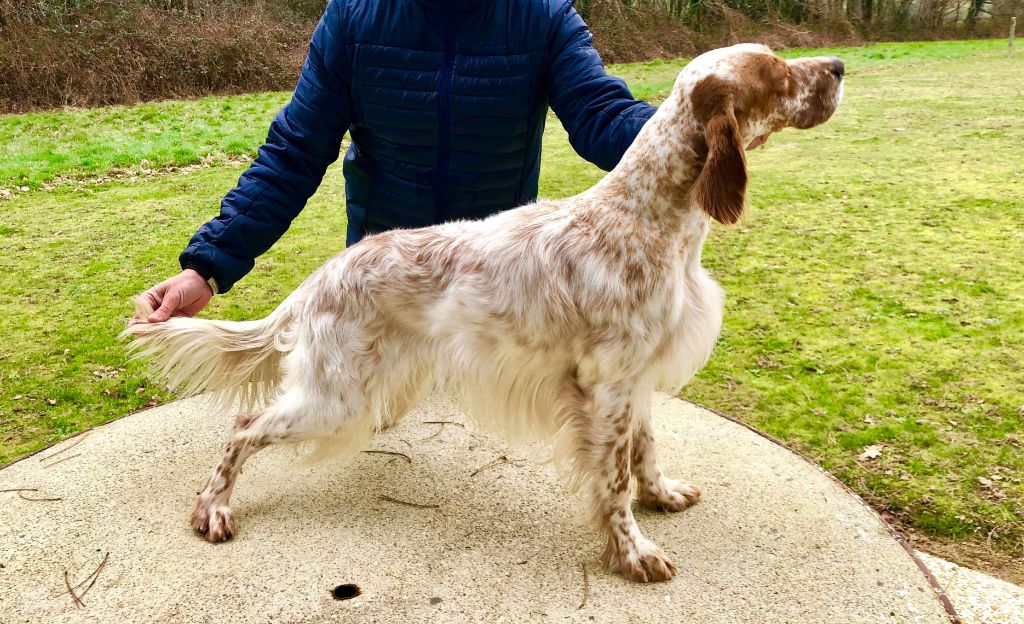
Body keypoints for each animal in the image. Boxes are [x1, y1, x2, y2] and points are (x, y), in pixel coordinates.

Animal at [128, 45, 843, 581]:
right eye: (778, 72)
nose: (837, 66)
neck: (648, 219)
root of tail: (319, 279)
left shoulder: (634, 380)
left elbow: (645, 450)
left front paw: (662, 495)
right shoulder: (607, 387)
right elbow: (612, 484)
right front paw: (634, 553)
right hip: (336, 399)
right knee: (244, 426)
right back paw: (213, 508)